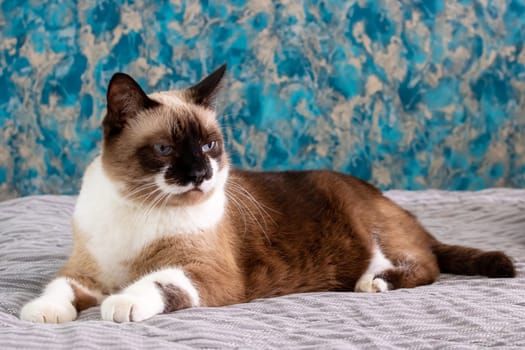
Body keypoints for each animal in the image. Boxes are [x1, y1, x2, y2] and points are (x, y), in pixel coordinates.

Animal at [19, 65, 512, 322]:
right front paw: (42, 313)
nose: (202, 174)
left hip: (373, 233)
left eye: (209, 146)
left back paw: (373, 283)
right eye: (165, 150)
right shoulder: (86, 273)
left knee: (425, 265)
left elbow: (155, 281)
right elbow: (57, 287)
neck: (141, 207)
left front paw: (120, 304)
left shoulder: (206, 274)